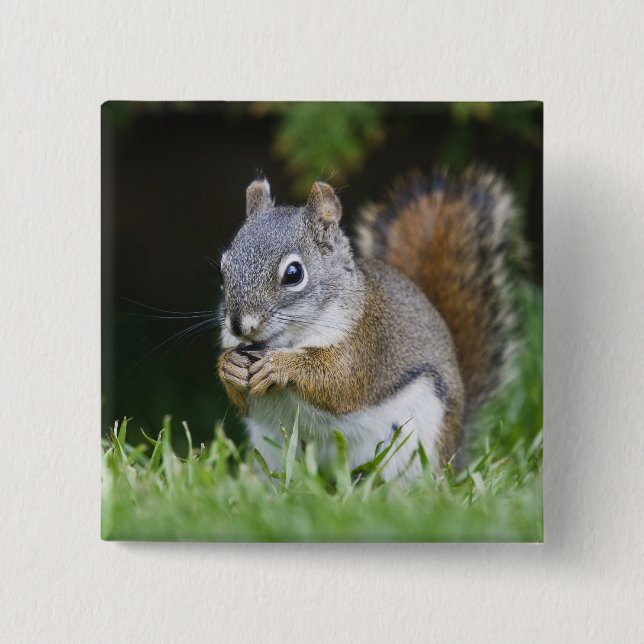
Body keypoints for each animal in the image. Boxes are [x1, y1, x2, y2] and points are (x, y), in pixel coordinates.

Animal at [217, 168, 519, 479]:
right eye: (223, 268)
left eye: (293, 273)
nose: (239, 326)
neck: (288, 339)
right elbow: (242, 400)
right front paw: (230, 366)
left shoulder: (367, 345)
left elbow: (339, 381)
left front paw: (280, 366)